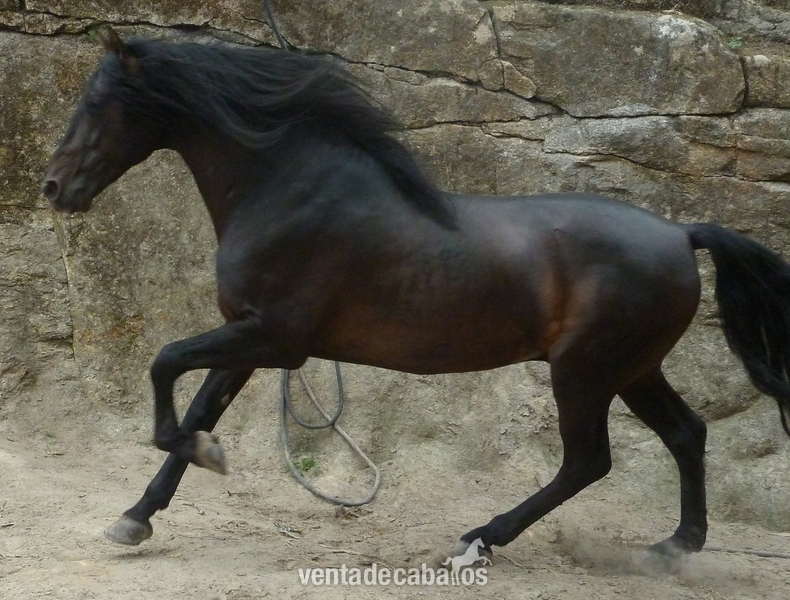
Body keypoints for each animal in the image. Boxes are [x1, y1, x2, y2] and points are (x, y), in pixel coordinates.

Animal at [42, 30, 790, 559]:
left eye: (96, 102)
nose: (53, 187)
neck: (284, 187)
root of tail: (681, 234)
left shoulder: (275, 338)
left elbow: (165, 367)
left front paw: (206, 457)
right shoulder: (249, 340)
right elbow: (197, 406)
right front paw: (135, 519)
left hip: (586, 370)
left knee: (588, 461)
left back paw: (481, 538)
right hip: (634, 369)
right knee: (686, 434)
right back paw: (677, 545)